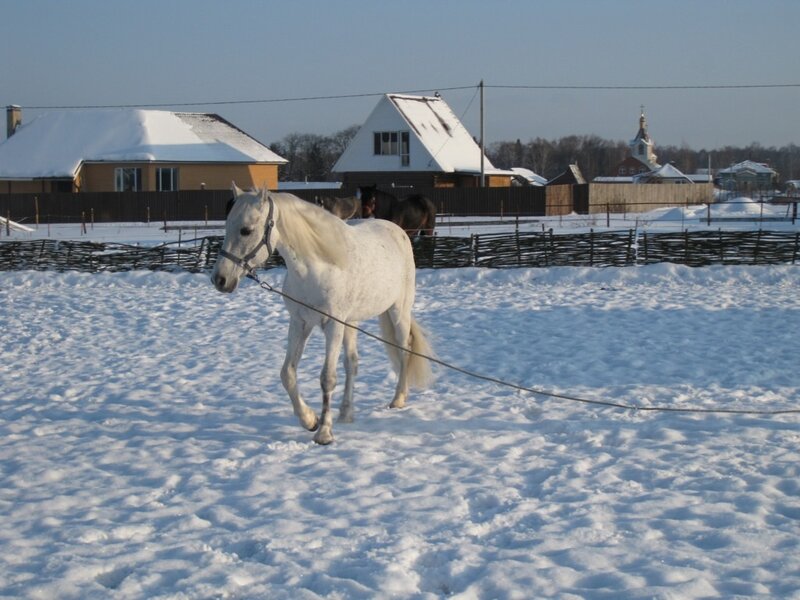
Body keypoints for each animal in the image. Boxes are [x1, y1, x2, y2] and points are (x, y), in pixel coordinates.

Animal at [209, 186, 428, 446]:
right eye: (227, 226)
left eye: (246, 230)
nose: (220, 280)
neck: (316, 267)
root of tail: (398, 232)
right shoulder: (300, 323)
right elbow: (287, 373)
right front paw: (310, 420)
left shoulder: (332, 325)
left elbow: (327, 378)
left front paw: (324, 433)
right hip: (351, 323)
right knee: (352, 363)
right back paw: (346, 413)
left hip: (398, 312)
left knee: (404, 350)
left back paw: (398, 399)